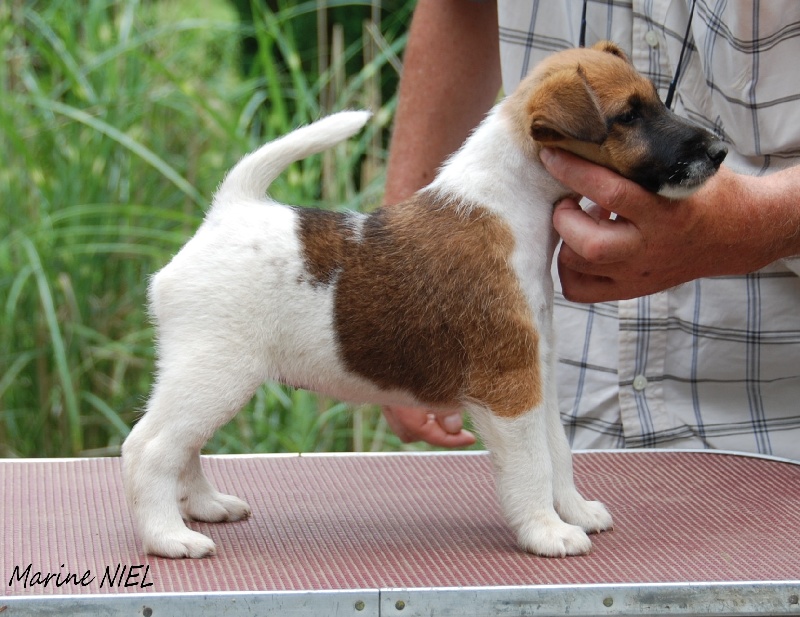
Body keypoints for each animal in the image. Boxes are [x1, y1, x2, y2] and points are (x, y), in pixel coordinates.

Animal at [123, 42, 724, 560]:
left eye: (656, 101)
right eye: (627, 116)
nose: (719, 152)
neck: (509, 207)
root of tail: (228, 212)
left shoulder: (539, 377)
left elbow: (558, 453)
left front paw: (573, 511)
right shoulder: (510, 389)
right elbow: (533, 465)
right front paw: (547, 531)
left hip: (207, 378)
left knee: (183, 448)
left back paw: (205, 506)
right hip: (215, 372)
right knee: (150, 448)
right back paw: (169, 537)